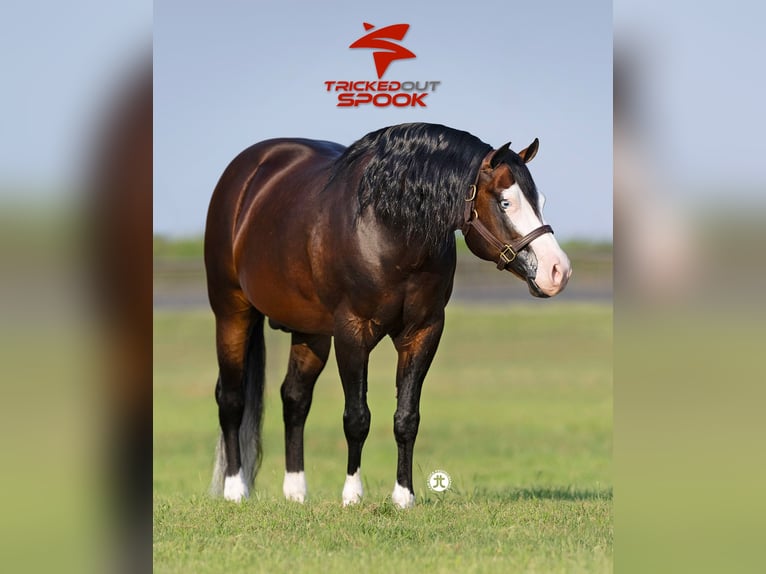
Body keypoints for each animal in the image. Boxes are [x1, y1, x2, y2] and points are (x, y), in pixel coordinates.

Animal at [204, 122, 571, 508]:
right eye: (505, 202)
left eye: (540, 201)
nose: (558, 271)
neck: (389, 230)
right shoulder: (352, 333)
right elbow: (357, 417)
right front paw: (352, 495)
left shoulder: (423, 332)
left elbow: (406, 417)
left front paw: (403, 496)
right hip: (231, 312)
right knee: (231, 399)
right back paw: (235, 489)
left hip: (311, 332)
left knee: (294, 398)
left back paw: (296, 492)